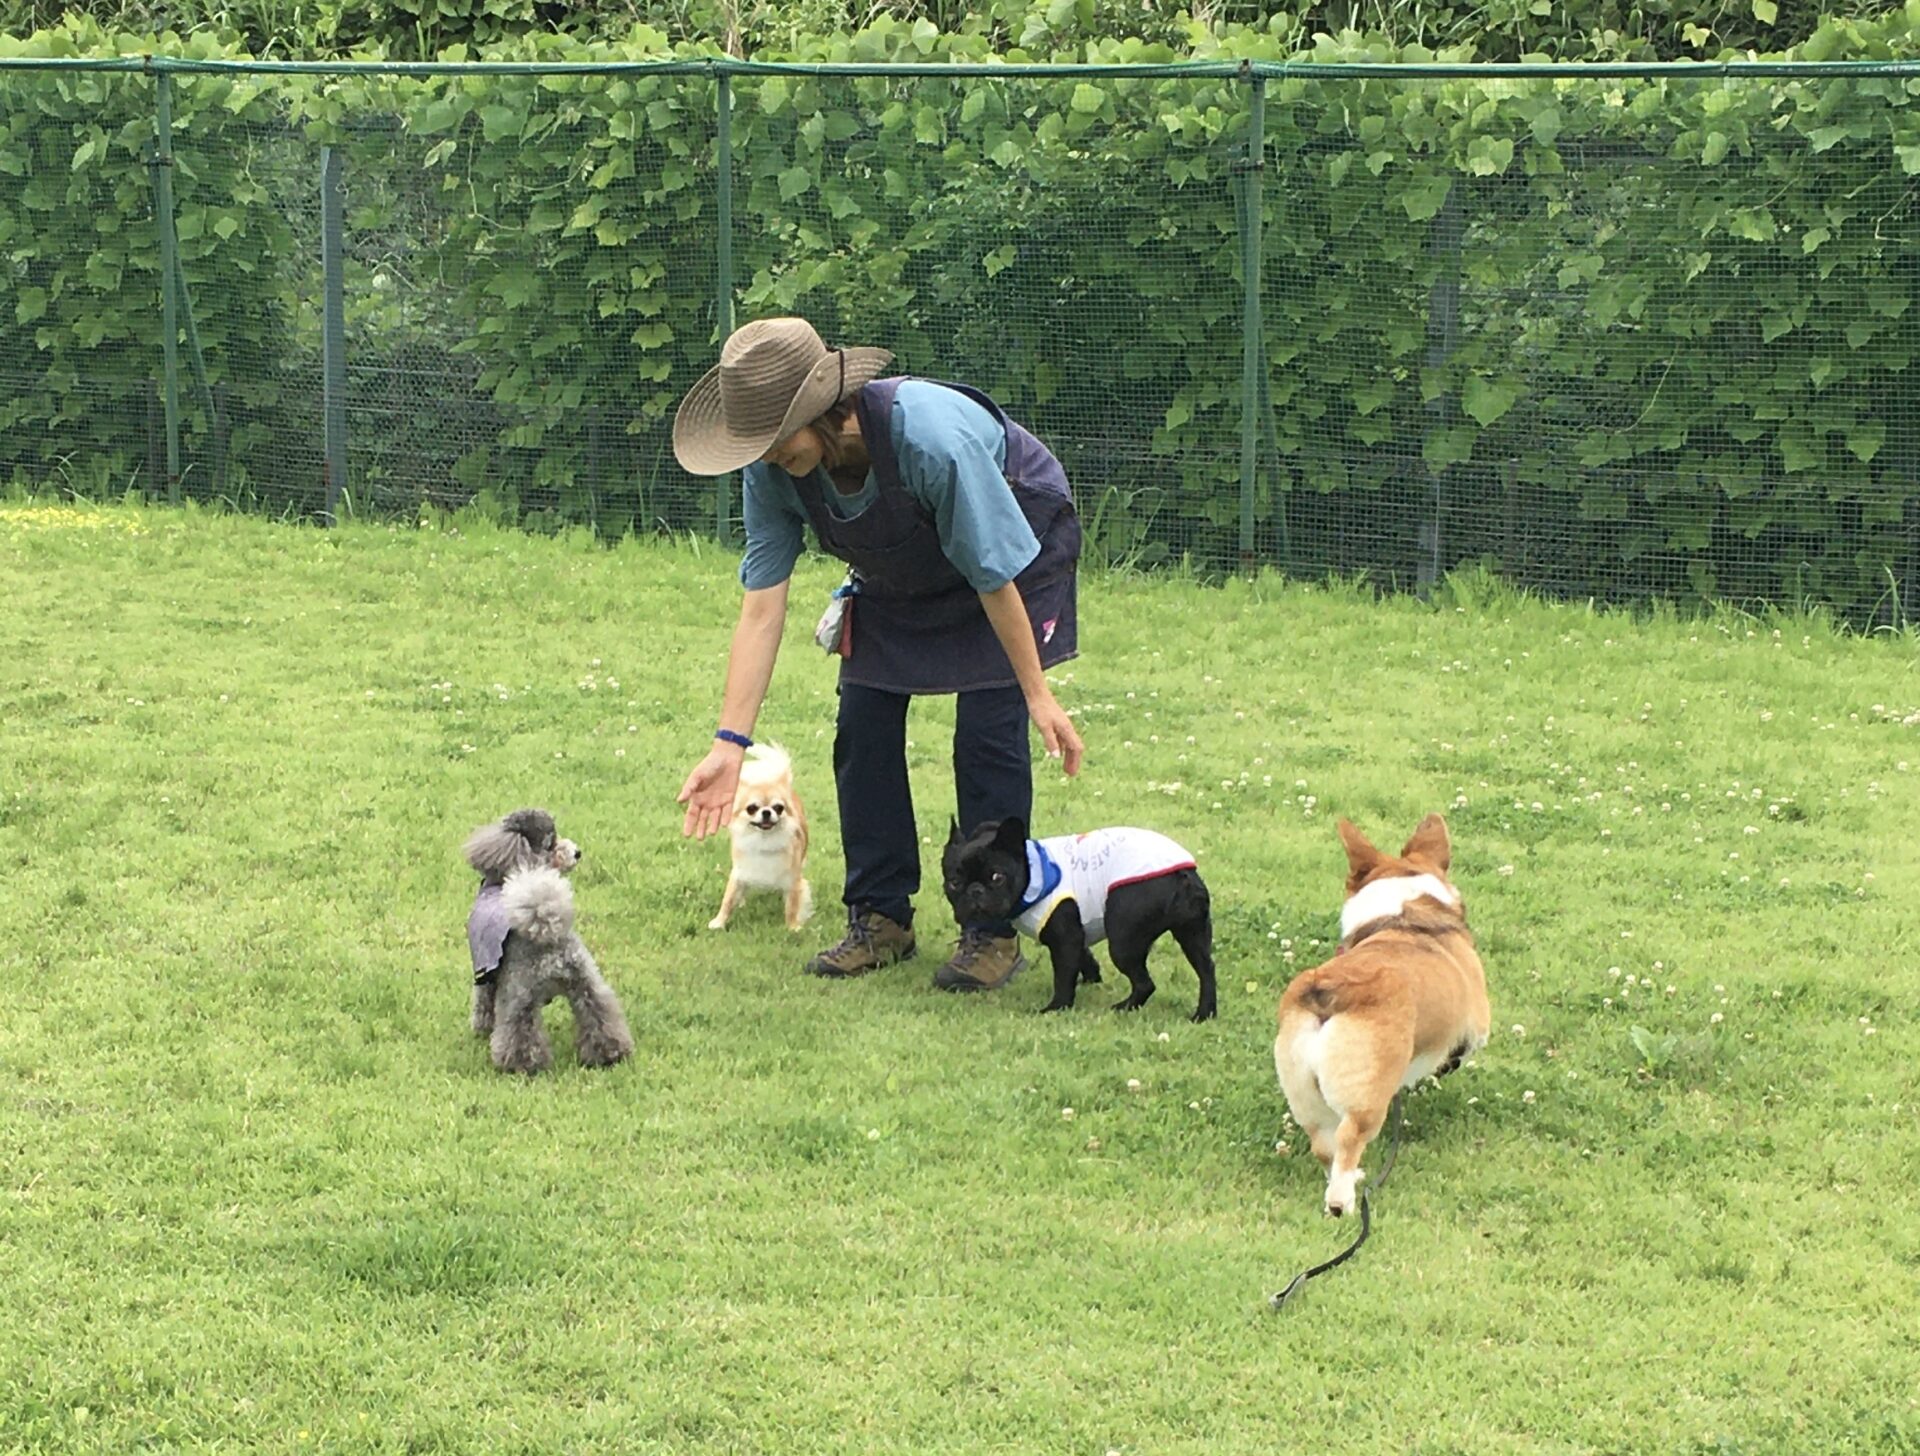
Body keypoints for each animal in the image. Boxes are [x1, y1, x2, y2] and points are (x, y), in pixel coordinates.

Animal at [465, 808, 634, 1075]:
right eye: (551, 843)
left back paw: (522, 1065)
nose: (577, 852)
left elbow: (482, 1005)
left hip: (519, 992)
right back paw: (610, 1053)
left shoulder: (484, 975)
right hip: (584, 978)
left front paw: (481, 1029)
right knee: (599, 1010)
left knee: (519, 1029)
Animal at [707, 743, 812, 931]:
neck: (764, 840)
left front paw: (792, 928)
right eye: (751, 808)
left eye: (778, 808)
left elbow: (792, 906)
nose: (766, 812)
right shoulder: (739, 872)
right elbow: (728, 899)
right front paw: (719, 922)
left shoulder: (793, 880)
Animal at [942, 817, 1217, 1020]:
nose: (974, 891)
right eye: (954, 883)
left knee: (1144, 983)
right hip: (1193, 934)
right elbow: (1084, 957)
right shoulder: (1076, 935)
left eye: (997, 877)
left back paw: (1125, 1007)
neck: (1034, 872)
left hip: (1123, 940)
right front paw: (1092, 979)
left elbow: (1063, 977)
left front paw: (1056, 1008)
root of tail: (1181, 875)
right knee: (1206, 970)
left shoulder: (1065, 939)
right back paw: (1204, 1014)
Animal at [1274, 813, 1489, 1217]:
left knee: (1323, 1145)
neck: (1403, 913)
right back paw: (1342, 1203)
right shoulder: (1478, 1022)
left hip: (1304, 1092)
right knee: (1348, 1141)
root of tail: (1329, 994)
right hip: (1366, 1100)